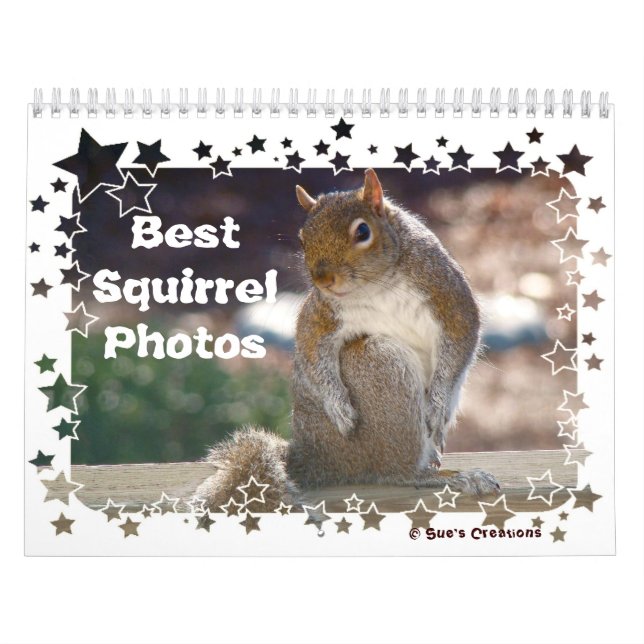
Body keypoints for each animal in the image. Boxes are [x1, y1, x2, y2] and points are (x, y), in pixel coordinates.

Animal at [196, 169, 500, 513]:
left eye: (363, 231)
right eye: (303, 238)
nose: (322, 279)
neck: (378, 284)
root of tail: (317, 458)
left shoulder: (447, 295)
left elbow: (461, 341)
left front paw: (437, 404)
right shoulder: (321, 313)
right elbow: (312, 349)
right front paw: (338, 406)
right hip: (378, 364)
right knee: (395, 472)